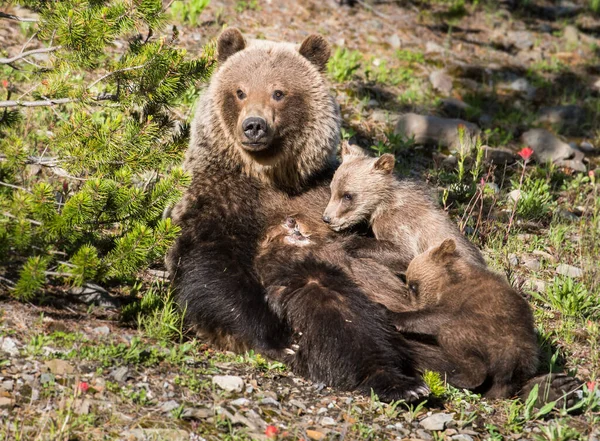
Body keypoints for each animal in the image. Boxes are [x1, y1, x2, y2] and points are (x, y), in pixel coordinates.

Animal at [322, 142, 486, 264]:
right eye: (332, 188)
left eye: (347, 195)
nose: (327, 218)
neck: (381, 206)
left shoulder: (404, 228)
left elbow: (405, 253)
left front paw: (348, 242)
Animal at [392, 239, 536, 398]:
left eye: (413, 286)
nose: (410, 302)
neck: (450, 279)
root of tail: (515, 358)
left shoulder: (458, 300)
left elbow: (437, 318)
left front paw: (394, 315)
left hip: (486, 337)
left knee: (452, 337)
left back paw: (456, 378)